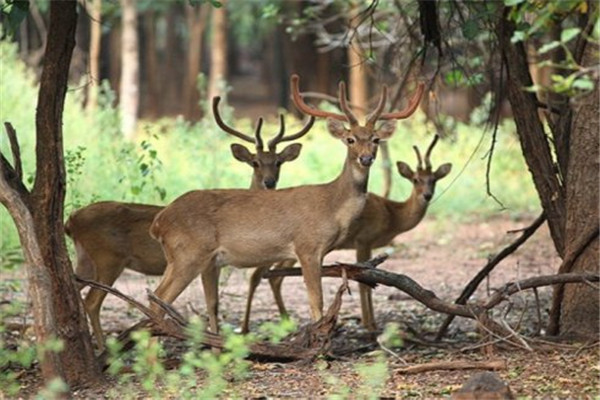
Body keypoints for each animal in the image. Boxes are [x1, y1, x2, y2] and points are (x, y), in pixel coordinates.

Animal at [64, 107, 314, 350]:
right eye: (255, 162)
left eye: (279, 162)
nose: (269, 182)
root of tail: (70, 221)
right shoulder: (209, 264)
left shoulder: (213, 265)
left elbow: (213, 304)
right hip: (110, 259)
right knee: (94, 302)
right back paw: (104, 347)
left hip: (86, 262)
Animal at [148, 72, 424, 334]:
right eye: (350, 139)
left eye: (376, 139)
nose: (366, 158)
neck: (331, 205)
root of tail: (159, 223)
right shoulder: (307, 246)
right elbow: (316, 302)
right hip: (189, 253)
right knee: (158, 298)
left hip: (191, 258)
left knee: (169, 299)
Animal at [241, 134, 452, 332]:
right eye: (416, 179)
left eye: (434, 179)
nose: (427, 195)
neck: (391, 213)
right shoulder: (363, 241)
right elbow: (364, 283)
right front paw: (370, 324)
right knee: (264, 276)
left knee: (272, 276)